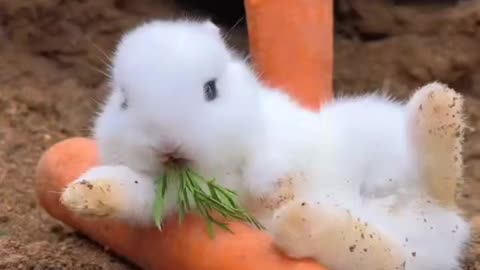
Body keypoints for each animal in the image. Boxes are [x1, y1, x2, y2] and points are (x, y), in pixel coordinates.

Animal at [59, 19, 468, 270]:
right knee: (385, 254)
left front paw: (277, 192)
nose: (168, 146)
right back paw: (301, 222)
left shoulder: (279, 136)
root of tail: (441, 229)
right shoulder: (163, 196)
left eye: (211, 89)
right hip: (384, 247)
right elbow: (130, 189)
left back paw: (437, 104)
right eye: (124, 101)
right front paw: (80, 196)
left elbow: (273, 163)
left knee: (438, 181)